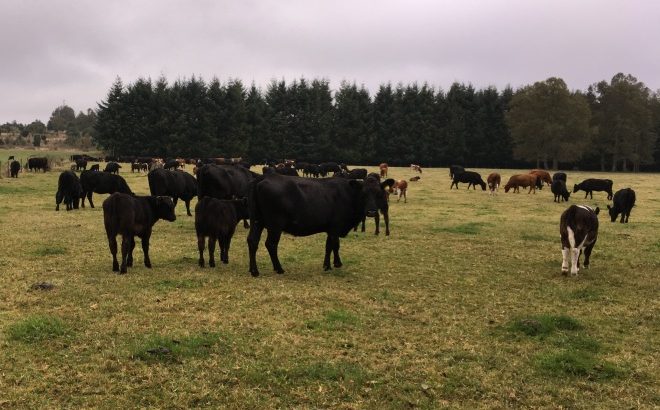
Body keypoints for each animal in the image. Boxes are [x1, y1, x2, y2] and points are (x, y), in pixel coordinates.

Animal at [248, 168, 392, 278]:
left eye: (379, 193)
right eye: (363, 194)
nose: (372, 212)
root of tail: (263, 178)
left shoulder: (330, 228)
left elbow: (328, 246)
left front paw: (327, 265)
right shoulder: (335, 227)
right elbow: (335, 245)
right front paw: (337, 263)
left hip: (258, 221)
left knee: (252, 241)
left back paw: (254, 271)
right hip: (275, 224)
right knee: (271, 244)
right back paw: (279, 269)